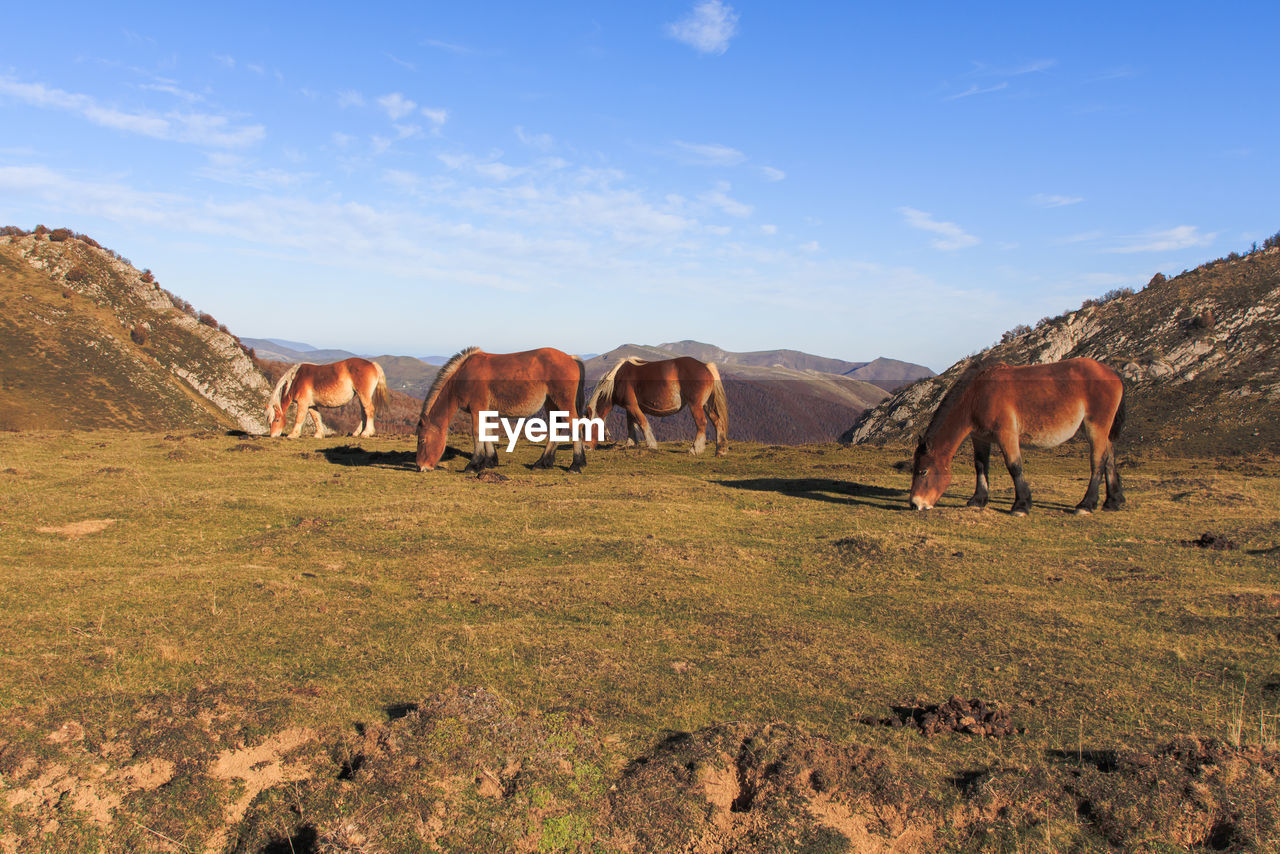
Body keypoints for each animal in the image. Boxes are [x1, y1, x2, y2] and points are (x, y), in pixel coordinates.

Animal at [414, 350, 588, 478]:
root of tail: (571, 358)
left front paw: (473, 465)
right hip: (551, 402)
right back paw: (543, 462)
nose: (420, 467)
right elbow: (488, 432)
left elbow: (477, 433)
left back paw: (575, 465)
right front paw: (489, 461)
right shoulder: (486, 410)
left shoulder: (477, 407)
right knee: (556, 427)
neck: (464, 375)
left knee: (574, 425)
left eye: (422, 440)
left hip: (562, 402)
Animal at [586, 358, 727, 458]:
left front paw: (652, 445)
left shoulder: (632, 406)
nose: (587, 447)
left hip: (696, 405)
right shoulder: (629, 407)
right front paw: (630, 444)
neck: (617, 379)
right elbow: (631, 424)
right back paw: (720, 451)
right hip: (707, 405)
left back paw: (695, 449)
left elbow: (642, 422)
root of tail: (706, 366)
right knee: (718, 422)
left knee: (701, 423)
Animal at [906, 358, 1126, 517]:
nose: (915, 504)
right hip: (1102, 430)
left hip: (1095, 427)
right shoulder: (980, 438)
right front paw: (978, 500)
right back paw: (1113, 501)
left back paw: (1086, 504)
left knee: (1098, 461)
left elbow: (1014, 466)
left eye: (923, 471)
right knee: (1109, 457)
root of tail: (1111, 372)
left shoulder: (1006, 435)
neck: (978, 396)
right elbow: (980, 466)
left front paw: (1021, 506)